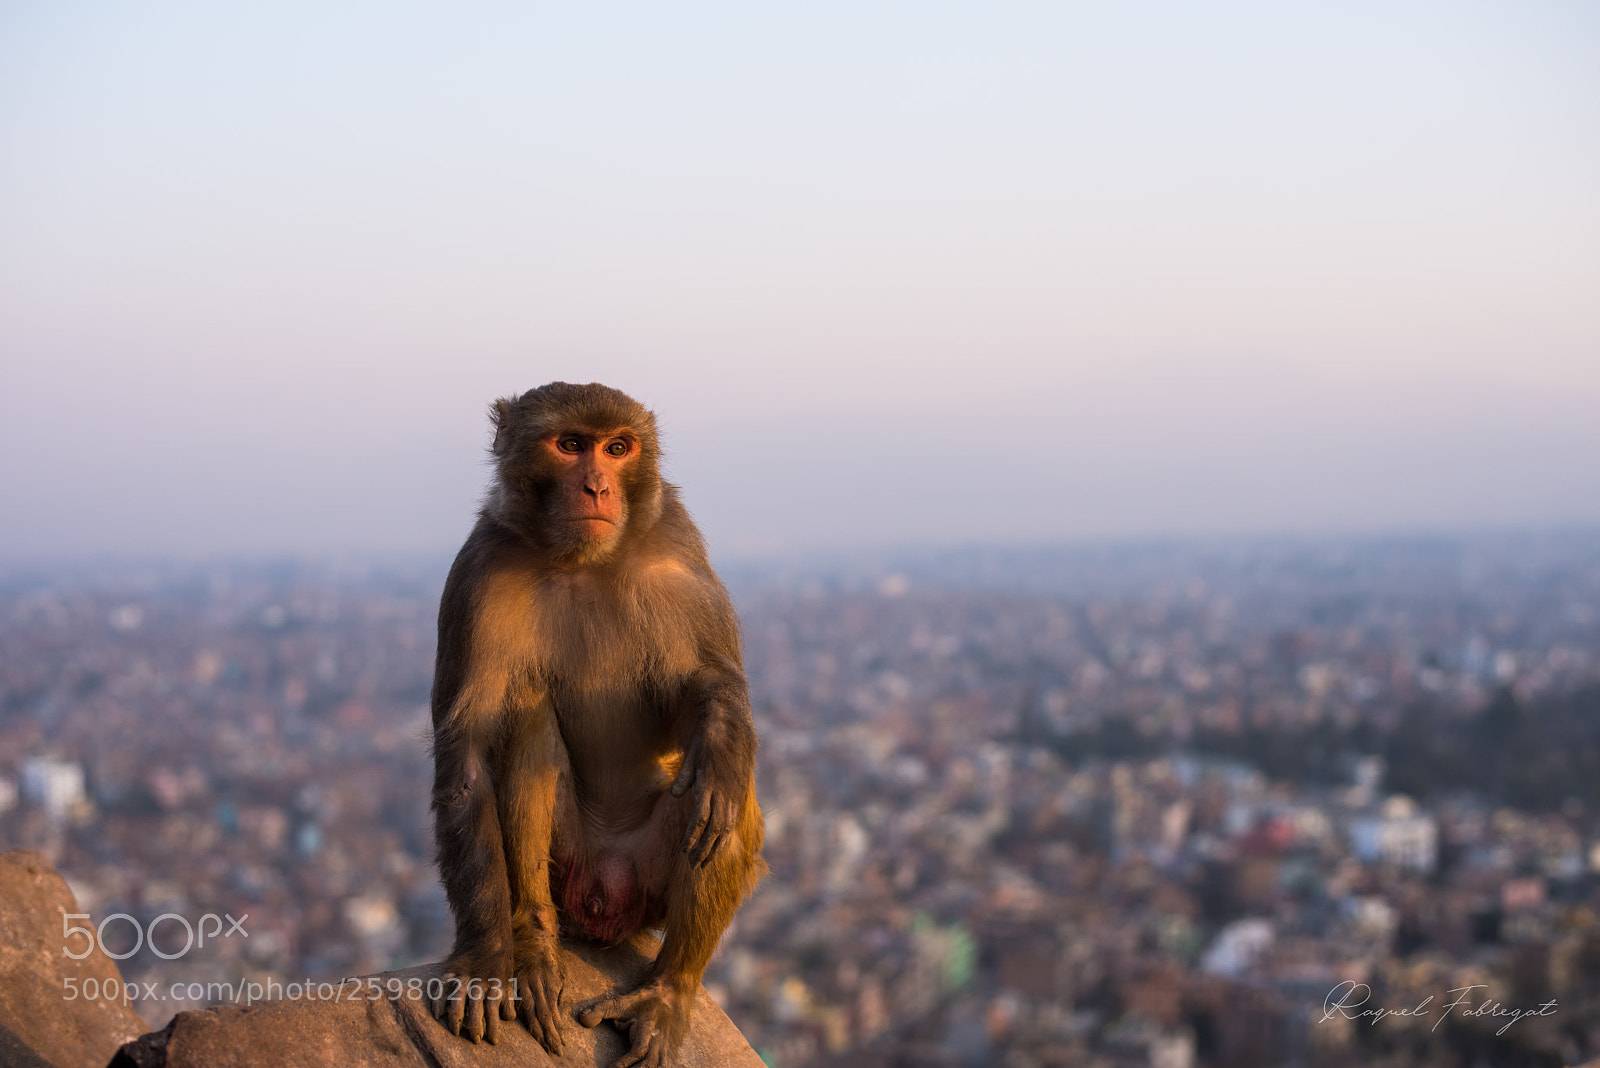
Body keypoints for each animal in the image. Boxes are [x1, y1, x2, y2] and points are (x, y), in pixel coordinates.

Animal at [428, 382, 765, 1068]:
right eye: (571, 444)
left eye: (617, 449)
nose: (597, 488)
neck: (583, 561)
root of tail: (608, 902)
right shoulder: (478, 574)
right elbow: (469, 755)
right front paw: (483, 958)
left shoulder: (679, 549)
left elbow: (708, 686)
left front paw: (719, 744)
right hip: (571, 868)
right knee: (526, 711)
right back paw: (532, 946)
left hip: (650, 881)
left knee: (724, 799)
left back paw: (668, 988)